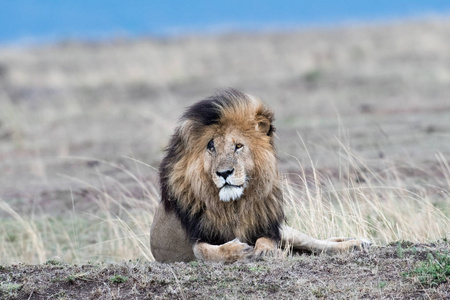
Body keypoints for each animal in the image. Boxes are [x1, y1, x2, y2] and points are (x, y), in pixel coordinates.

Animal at [150, 89, 370, 262]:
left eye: (238, 146)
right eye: (211, 147)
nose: (224, 173)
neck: (234, 206)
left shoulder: (268, 227)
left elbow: (266, 240)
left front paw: (266, 250)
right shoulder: (196, 238)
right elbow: (205, 252)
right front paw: (239, 251)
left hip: (288, 232)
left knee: (318, 243)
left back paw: (356, 243)